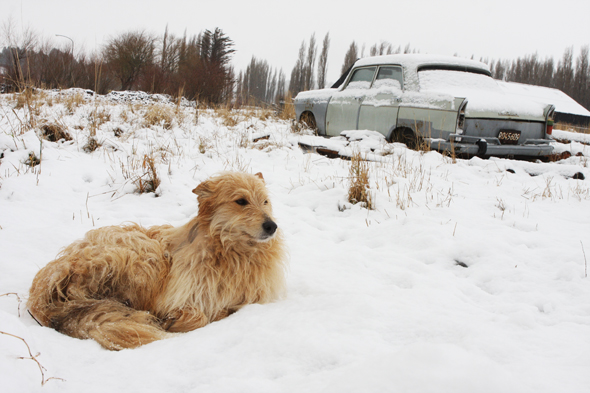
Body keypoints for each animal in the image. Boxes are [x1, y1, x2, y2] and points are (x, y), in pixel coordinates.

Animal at [28, 172, 286, 350]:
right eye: (241, 201)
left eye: (265, 201)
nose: (272, 226)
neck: (234, 252)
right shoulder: (177, 297)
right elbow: (200, 316)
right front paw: (178, 321)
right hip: (142, 256)